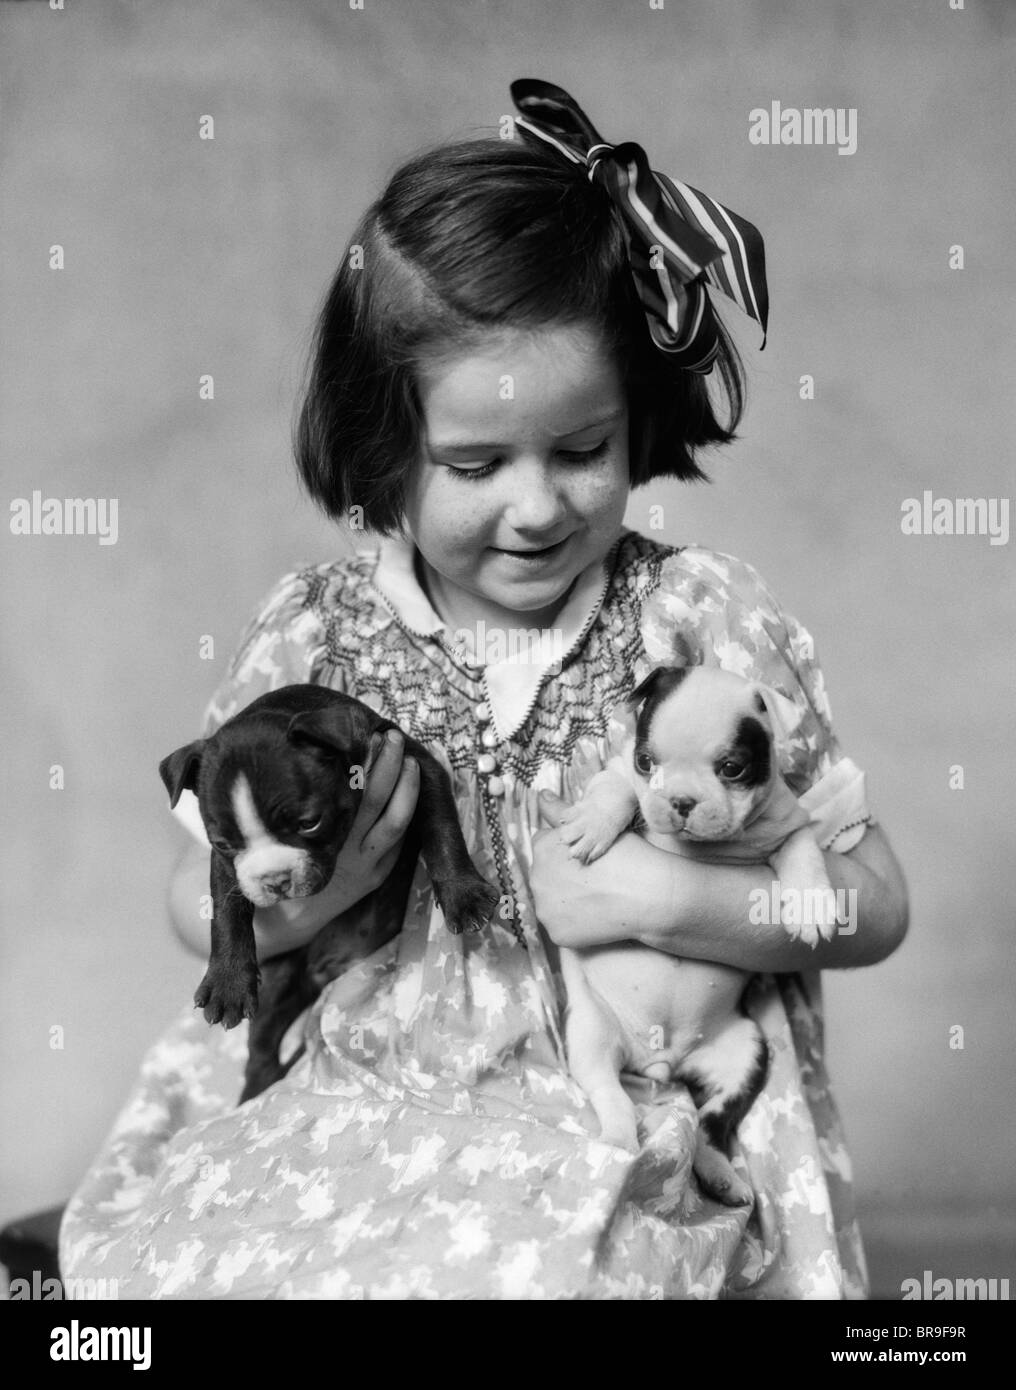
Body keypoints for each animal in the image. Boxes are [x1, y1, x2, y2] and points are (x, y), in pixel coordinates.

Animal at [159, 681, 505, 1095]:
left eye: (310, 823)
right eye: (224, 843)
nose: (275, 880)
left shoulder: (420, 769)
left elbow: (443, 832)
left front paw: (463, 896)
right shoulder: (226, 866)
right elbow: (226, 914)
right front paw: (227, 982)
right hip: (276, 983)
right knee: (262, 1044)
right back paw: (257, 1087)